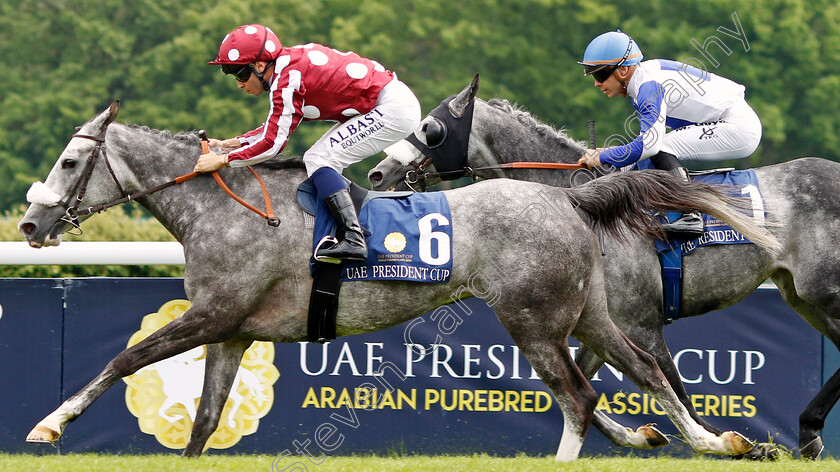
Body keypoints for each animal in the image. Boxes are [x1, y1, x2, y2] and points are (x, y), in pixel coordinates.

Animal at [16, 101, 776, 460]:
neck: (223, 209)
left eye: (68, 162)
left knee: (581, 395)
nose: (28, 224)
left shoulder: (211, 314)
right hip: (588, 310)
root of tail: (569, 199)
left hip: (532, 318)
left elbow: (126, 358)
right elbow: (204, 419)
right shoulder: (231, 331)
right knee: (644, 368)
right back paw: (712, 441)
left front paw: (50, 424)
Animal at [370, 75, 840, 460]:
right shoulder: (600, 322)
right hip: (803, 297)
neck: (581, 207)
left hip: (823, 291)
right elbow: (589, 389)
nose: (378, 173)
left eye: (430, 129)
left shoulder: (641, 323)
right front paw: (647, 436)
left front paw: (741, 444)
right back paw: (808, 433)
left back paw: (807, 432)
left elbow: (672, 389)